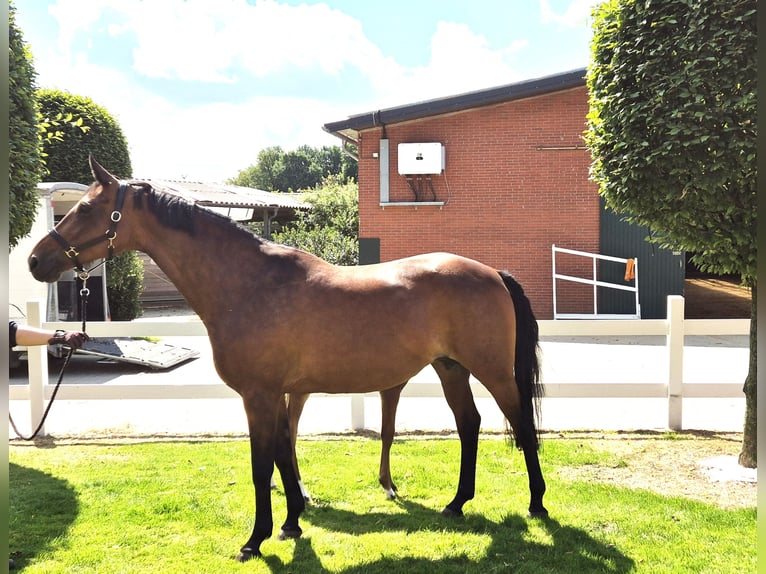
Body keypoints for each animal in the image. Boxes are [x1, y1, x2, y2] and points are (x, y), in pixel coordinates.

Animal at [28, 158, 544, 564]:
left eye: (85, 209)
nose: (36, 260)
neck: (249, 284)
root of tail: (491, 273)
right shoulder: (278, 394)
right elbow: (283, 453)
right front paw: (293, 520)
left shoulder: (258, 395)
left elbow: (262, 465)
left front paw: (254, 540)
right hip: (451, 367)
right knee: (469, 424)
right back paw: (456, 503)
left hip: (492, 371)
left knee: (520, 422)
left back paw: (536, 503)